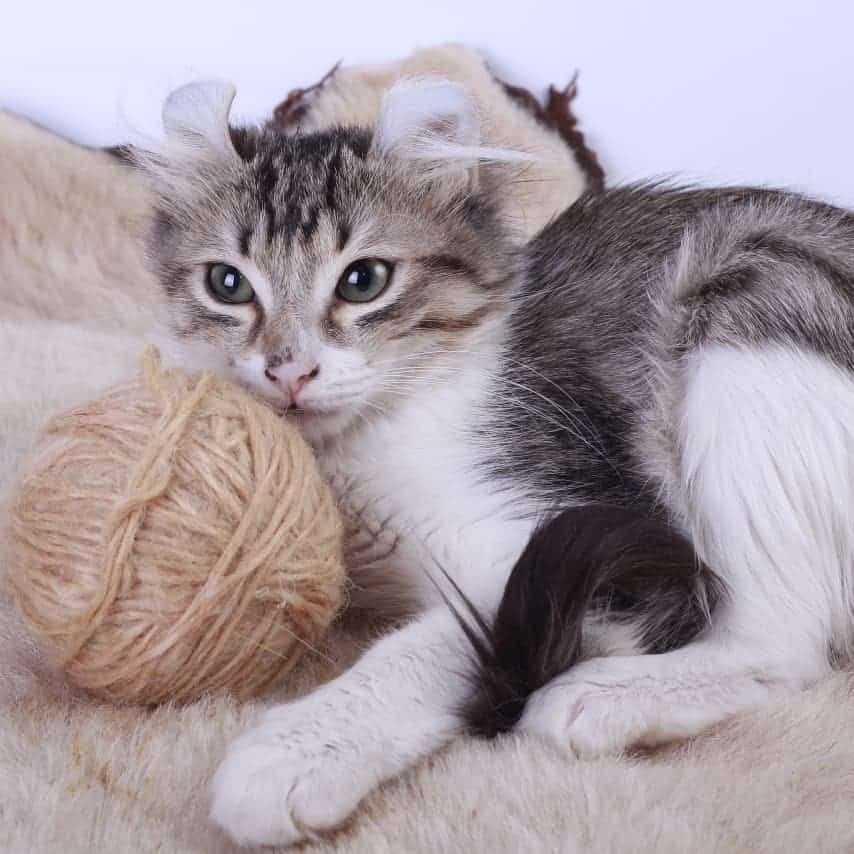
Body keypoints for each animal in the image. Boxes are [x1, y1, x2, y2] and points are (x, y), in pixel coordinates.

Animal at [134, 82, 854, 848]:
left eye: (363, 281)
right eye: (228, 285)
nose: (288, 371)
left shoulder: (573, 524)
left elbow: (434, 642)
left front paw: (296, 749)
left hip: (752, 294)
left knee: (780, 646)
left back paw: (607, 697)